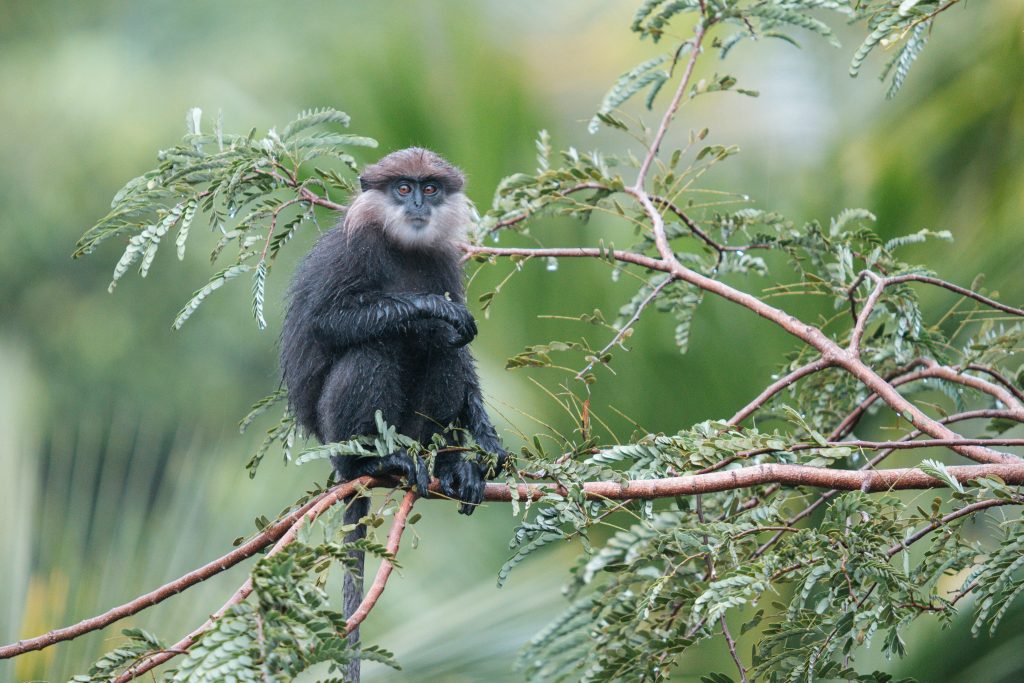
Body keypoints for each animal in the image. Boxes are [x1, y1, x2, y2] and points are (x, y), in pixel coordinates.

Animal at [280, 147, 507, 679]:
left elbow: (462, 355)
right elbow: (327, 322)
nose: (417, 205)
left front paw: (486, 444)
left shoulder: (444, 260)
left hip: (415, 430)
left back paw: (452, 466)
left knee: (443, 351)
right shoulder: (353, 248)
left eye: (430, 188)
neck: (403, 247)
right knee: (379, 343)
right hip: (337, 434)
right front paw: (430, 308)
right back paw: (375, 462)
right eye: (403, 188)